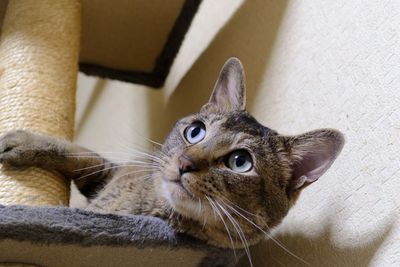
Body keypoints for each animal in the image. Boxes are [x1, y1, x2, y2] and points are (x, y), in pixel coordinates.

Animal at [0, 57, 344, 264]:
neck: (151, 203)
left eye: (240, 162)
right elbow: (80, 153)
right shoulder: (110, 172)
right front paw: (21, 142)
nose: (185, 163)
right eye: (195, 131)